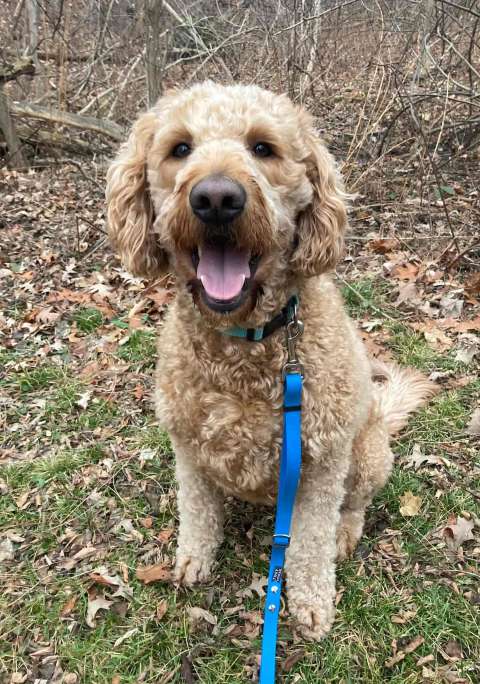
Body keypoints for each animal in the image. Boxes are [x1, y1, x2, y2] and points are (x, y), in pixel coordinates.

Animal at [106, 83, 436, 640]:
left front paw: (310, 603)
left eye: (263, 148)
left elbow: (309, 541)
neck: (245, 342)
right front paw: (195, 558)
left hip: (366, 454)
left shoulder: (322, 462)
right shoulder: (188, 447)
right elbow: (197, 511)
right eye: (179, 148)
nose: (217, 199)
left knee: (356, 505)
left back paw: (346, 531)